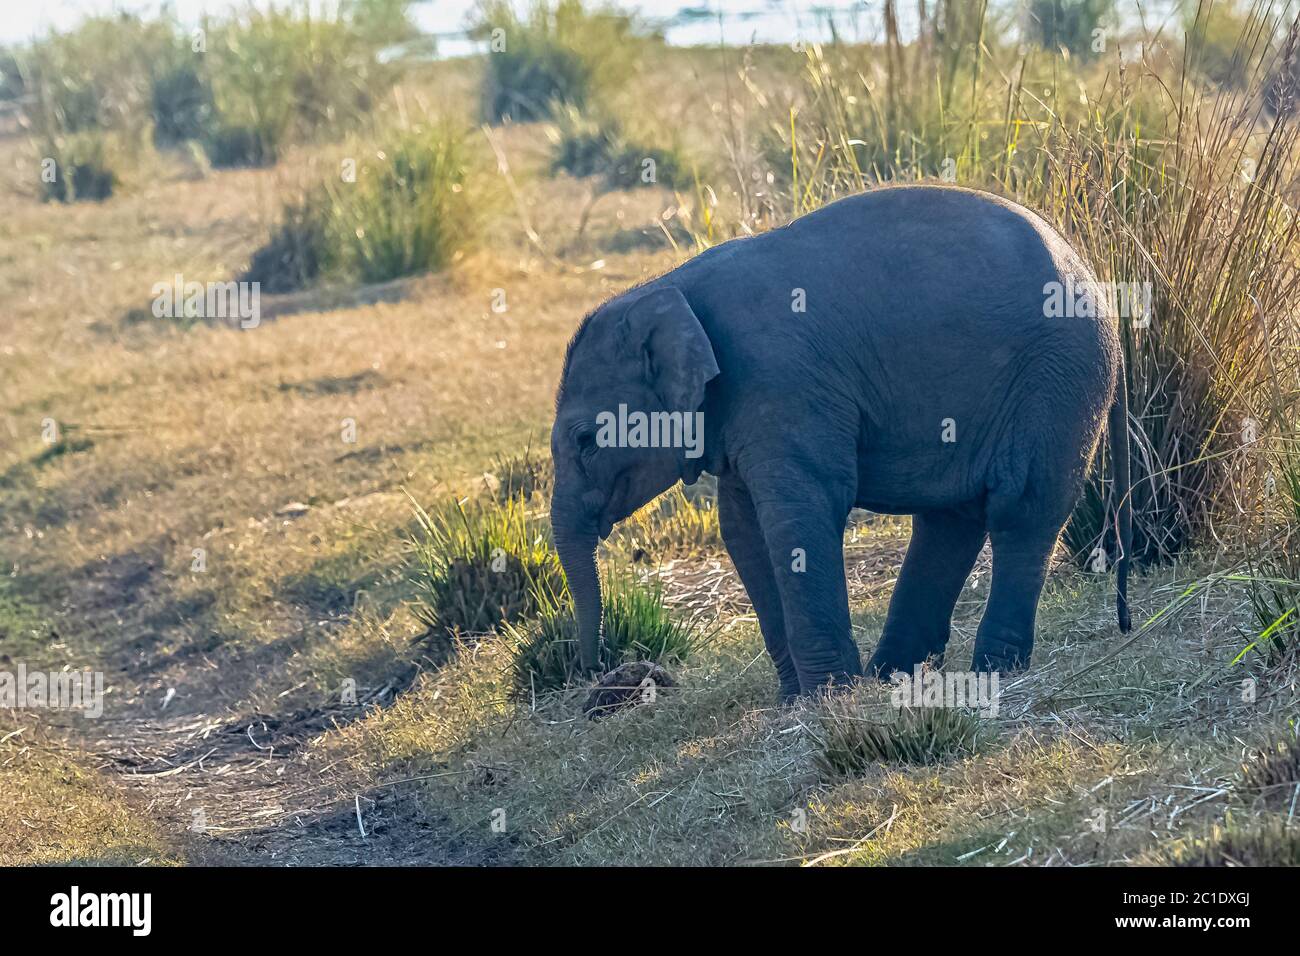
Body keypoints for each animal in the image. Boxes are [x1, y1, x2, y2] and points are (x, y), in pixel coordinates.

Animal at [548, 183, 1128, 697]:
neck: (670, 288)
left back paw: (991, 669)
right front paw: (796, 700)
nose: (596, 671)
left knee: (1020, 508)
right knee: (952, 518)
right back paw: (894, 675)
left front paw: (830, 696)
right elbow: (743, 528)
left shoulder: (782, 384)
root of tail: (1095, 279)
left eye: (586, 440)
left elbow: (801, 512)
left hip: (1057, 381)